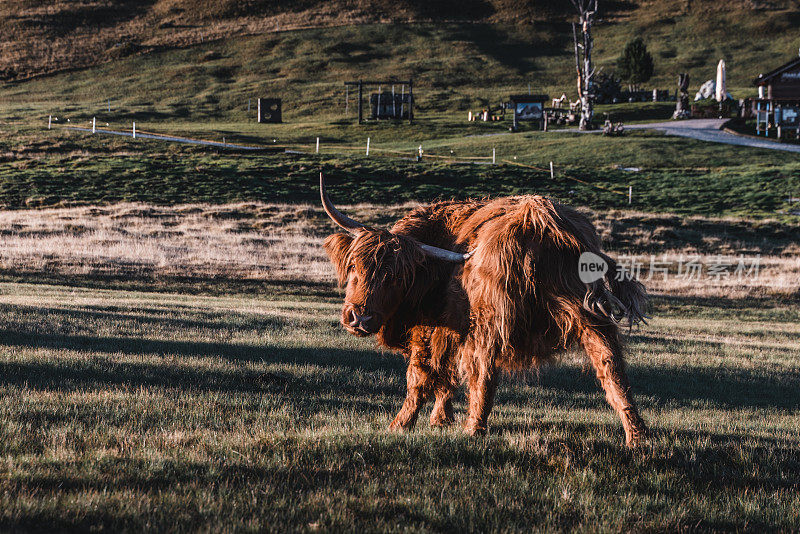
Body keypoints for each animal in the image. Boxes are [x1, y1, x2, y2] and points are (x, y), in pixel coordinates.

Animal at [318, 174, 648, 446]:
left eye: (395, 277)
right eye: (353, 266)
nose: (358, 317)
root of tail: (542, 220)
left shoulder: (432, 331)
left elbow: (421, 377)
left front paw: (401, 425)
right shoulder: (450, 331)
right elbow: (446, 378)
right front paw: (440, 420)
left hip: (490, 318)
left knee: (484, 371)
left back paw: (473, 429)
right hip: (590, 316)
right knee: (612, 366)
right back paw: (637, 436)